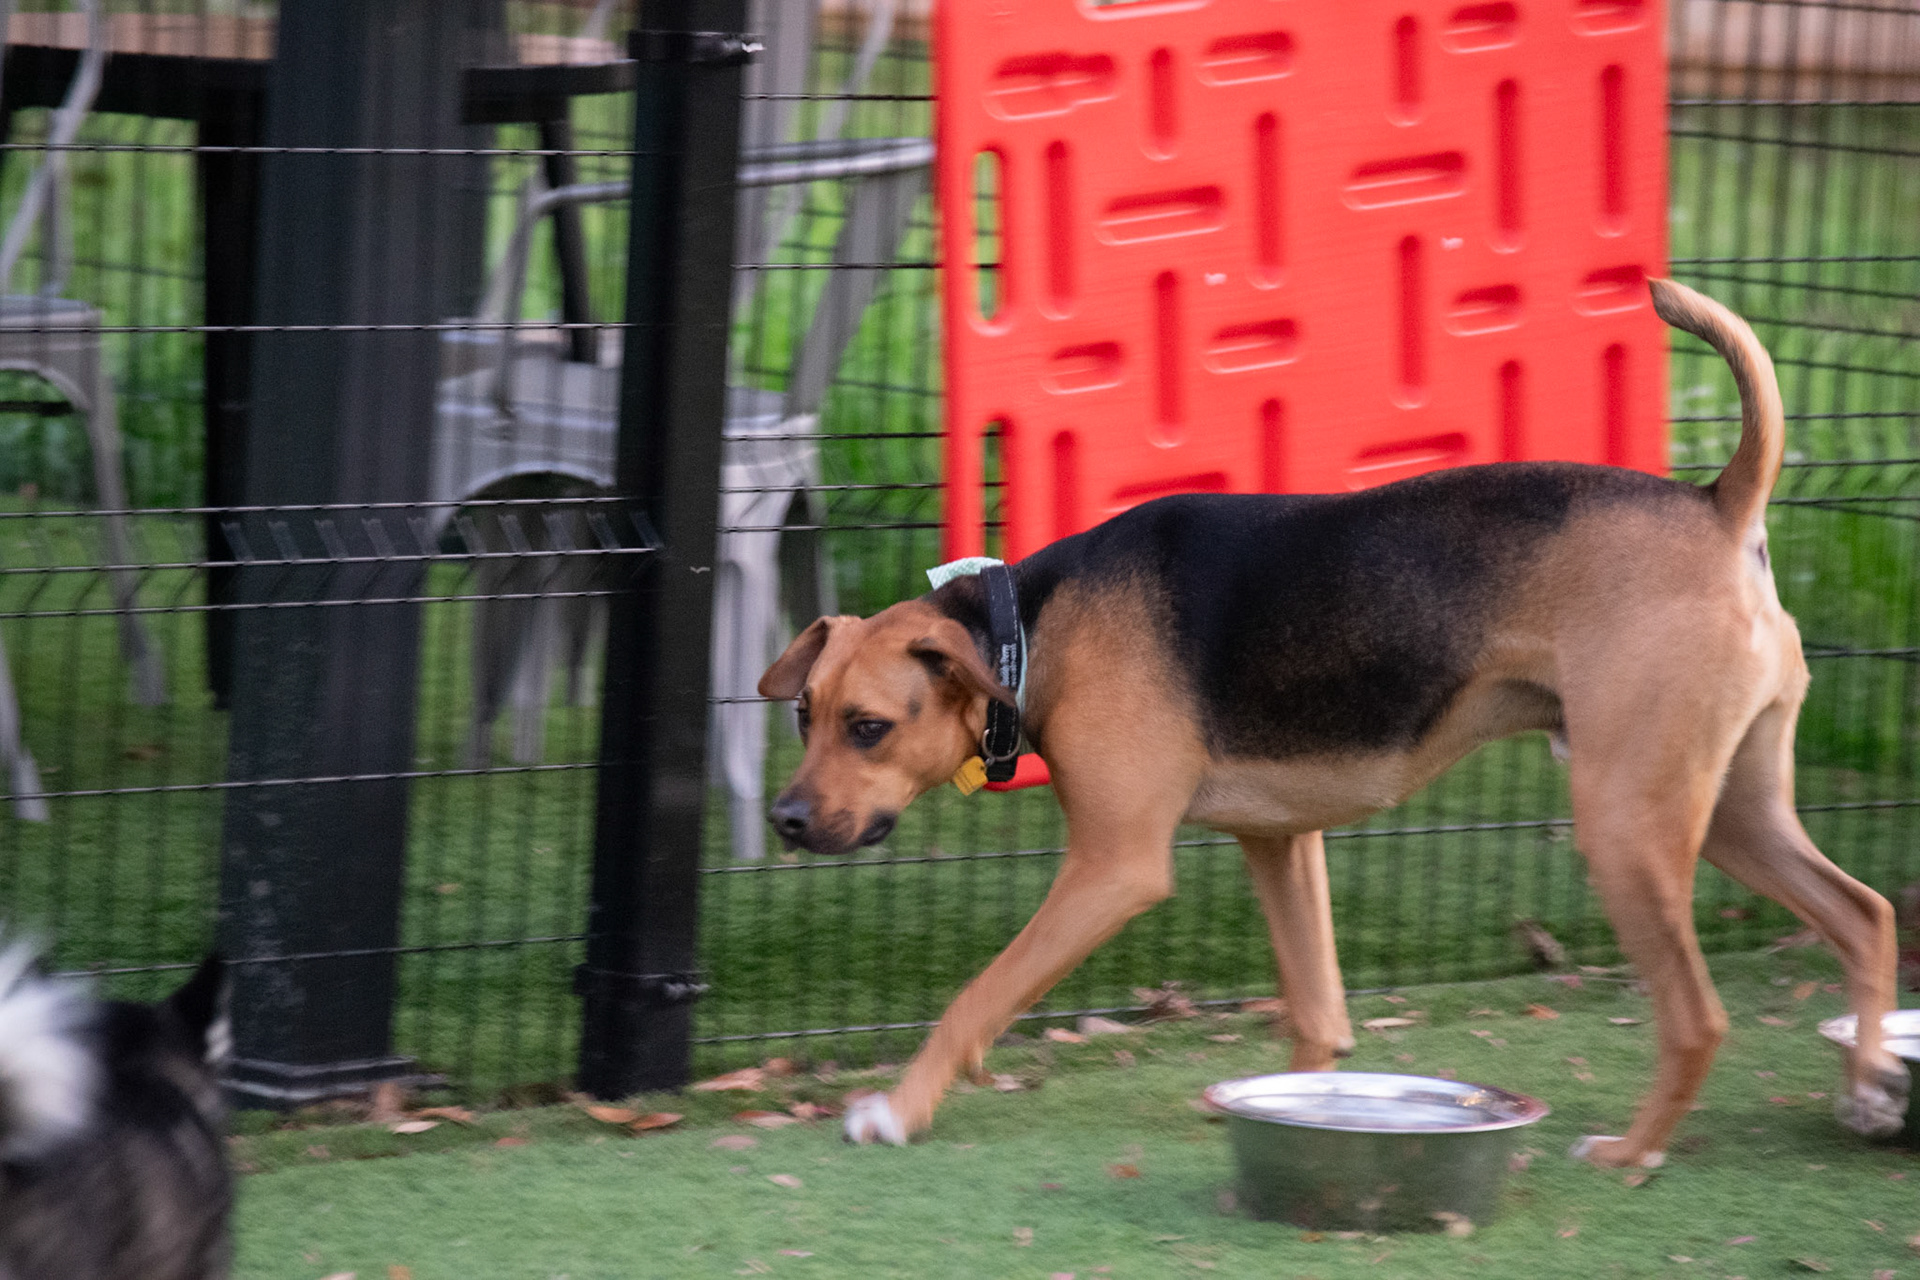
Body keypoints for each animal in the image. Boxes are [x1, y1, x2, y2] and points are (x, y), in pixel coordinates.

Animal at [758, 279, 1909, 1166]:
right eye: (805, 713)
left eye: (867, 727)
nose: (785, 822)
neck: (1027, 628)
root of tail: (1719, 503)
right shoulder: (1282, 844)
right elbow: (1314, 1016)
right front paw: (1290, 1105)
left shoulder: (1113, 869)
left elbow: (976, 997)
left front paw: (895, 1110)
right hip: (1730, 810)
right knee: (1865, 912)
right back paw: (1866, 1083)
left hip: (1629, 825)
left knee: (1699, 1015)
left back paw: (1634, 1150)